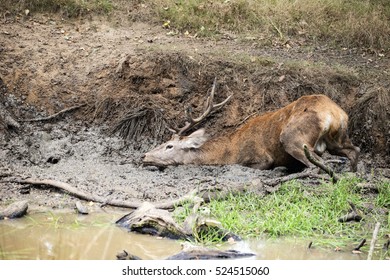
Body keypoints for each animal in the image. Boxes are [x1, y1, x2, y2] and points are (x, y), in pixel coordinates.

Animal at [143, 77, 360, 172]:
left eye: (169, 146)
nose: (144, 155)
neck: (229, 151)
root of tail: (333, 113)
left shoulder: (259, 157)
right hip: (339, 138)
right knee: (354, 150)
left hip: (292, 137)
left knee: (319, 163)